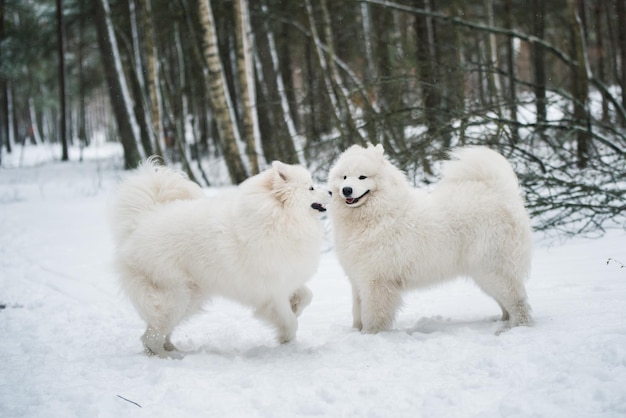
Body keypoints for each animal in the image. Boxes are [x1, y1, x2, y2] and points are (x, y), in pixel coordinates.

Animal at [109, 158, 330, 358]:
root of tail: (142, 222)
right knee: (151, 337)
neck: (279, 218)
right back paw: (171, 358)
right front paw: (287, 340)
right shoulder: (272, 292)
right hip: (175, 298)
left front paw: (296, 309)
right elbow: (290, 321)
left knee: (158, 334)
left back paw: (174, 350)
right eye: (311, 187)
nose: (330, 191)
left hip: (190, 298)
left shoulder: (288, 278)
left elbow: (307, 296)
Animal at [326, 144, 532, 334]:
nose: (346, 190)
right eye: (344, 177)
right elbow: (357, 311)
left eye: (362, 177)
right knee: (507, 302)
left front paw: (370, 335)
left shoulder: (376, 281)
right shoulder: (357, 279)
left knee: (518, 302)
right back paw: (502, 322)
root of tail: (499, 191)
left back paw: (514, 329)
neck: (378, 214)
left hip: (492, 269)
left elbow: (372, 314)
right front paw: (356, 331)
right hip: (484, 273)